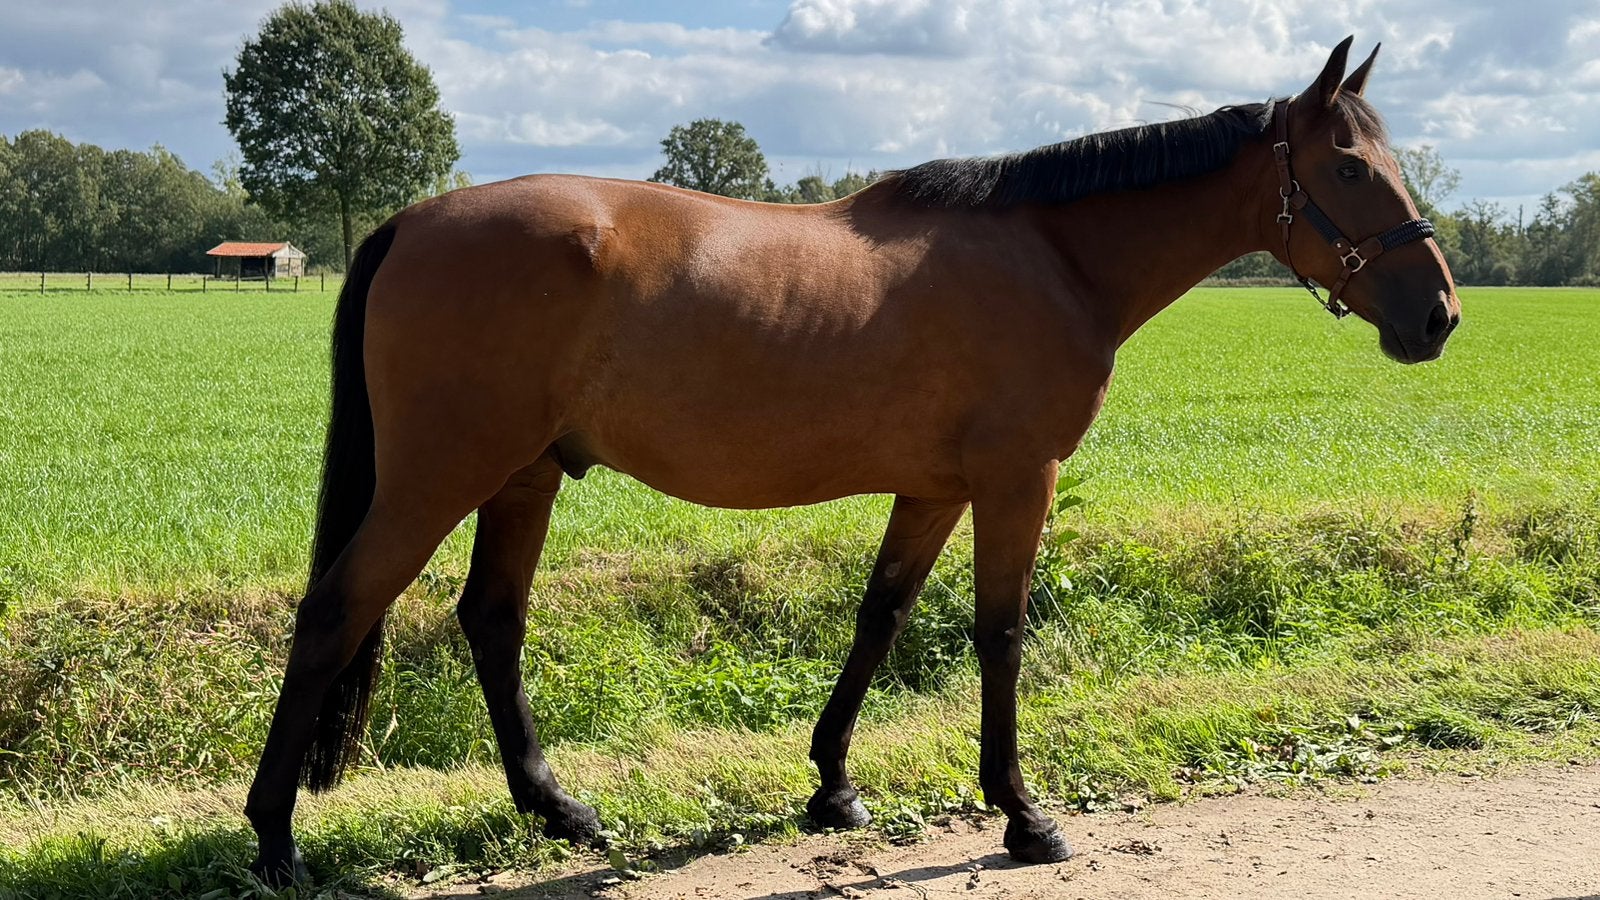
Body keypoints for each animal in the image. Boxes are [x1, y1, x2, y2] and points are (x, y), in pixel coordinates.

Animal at [244, 36, 1459, 884]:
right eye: (1350, 169)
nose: (1439, 315)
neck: (1053, 256)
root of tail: (413, 219)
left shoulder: (930, 489)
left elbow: (881, 618)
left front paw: (832, 785)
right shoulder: (1016, 481)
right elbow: (999, 633)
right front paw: (1022, 814)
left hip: (524, 476)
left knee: (492, 622)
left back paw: (559, 810)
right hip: (439, 476)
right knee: (338, 609)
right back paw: (274, 838)